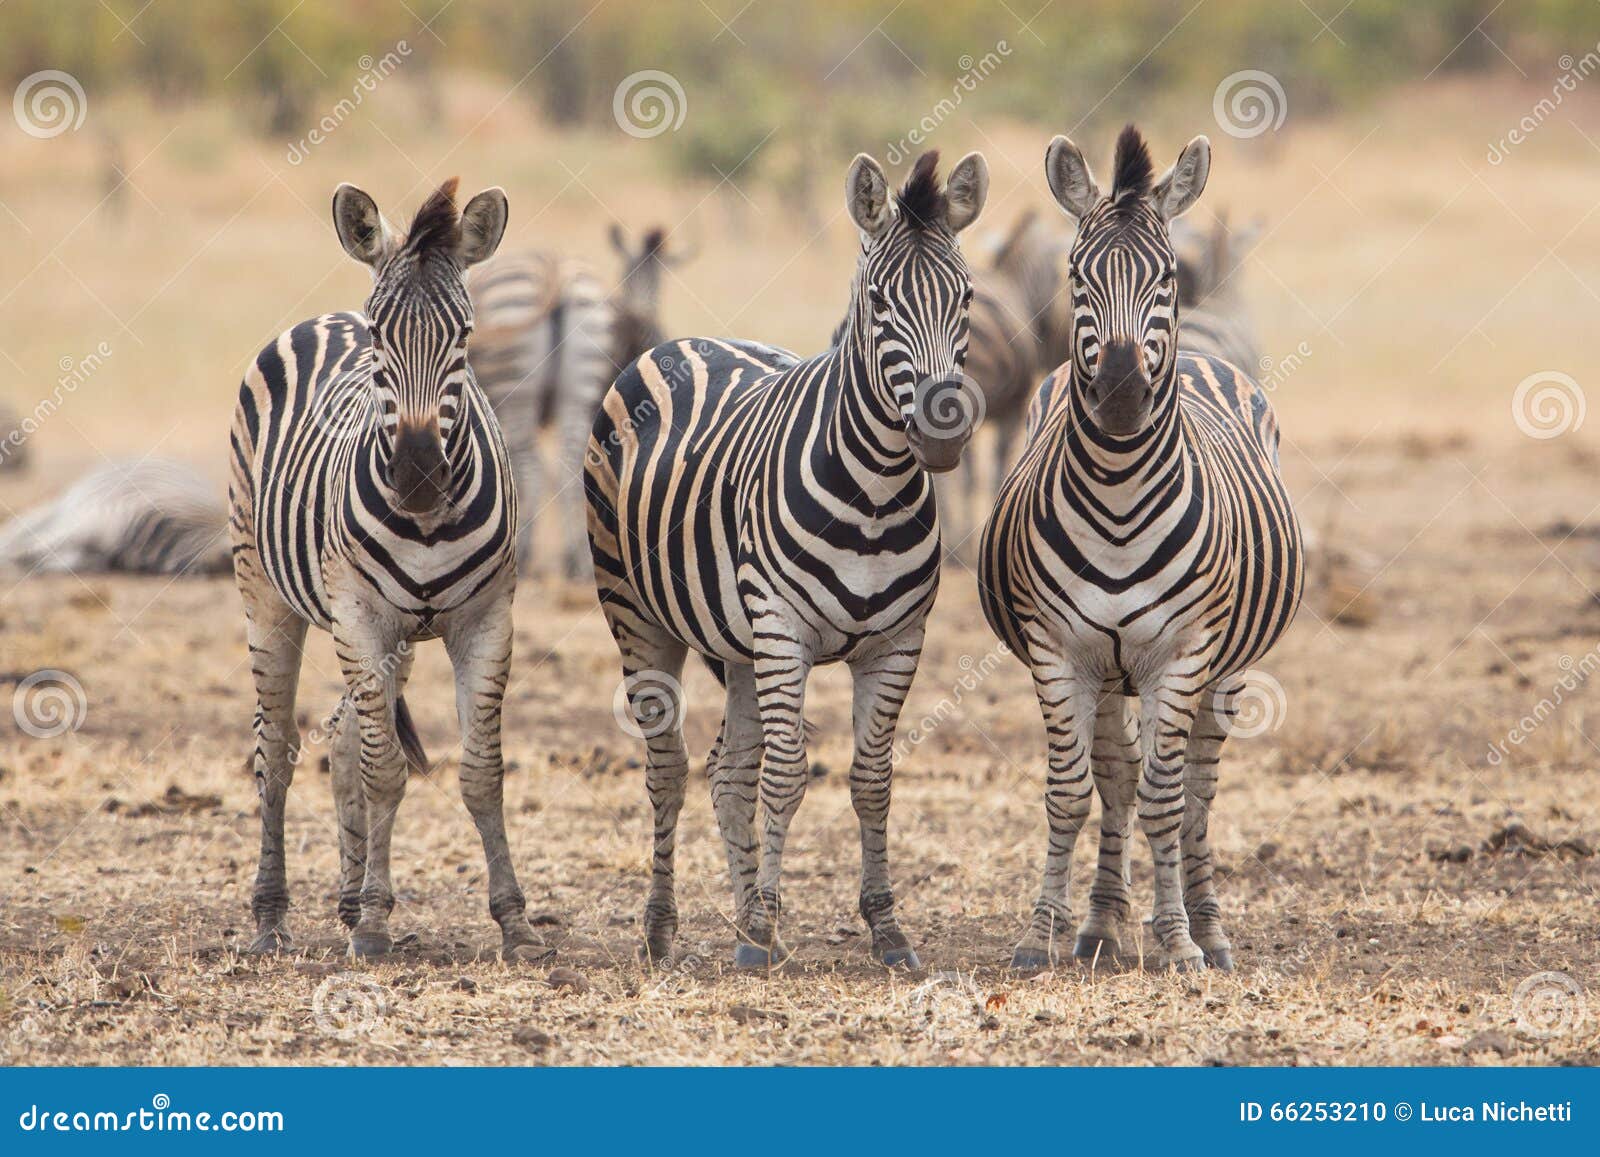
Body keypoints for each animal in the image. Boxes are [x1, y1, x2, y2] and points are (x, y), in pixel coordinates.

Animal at [228, 178, 546, 961]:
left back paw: (345, 899)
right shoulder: (361, 616)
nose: (419, 476)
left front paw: (515, 922)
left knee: (341, 739)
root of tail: (326, 315)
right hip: (267, 594)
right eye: (379, 336)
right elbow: (384, 769)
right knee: (277, 749)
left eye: (465, 336)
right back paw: (271, 914)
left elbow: (481, 773)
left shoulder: (487, 621)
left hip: (391, 635)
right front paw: (375, 922)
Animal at [587, 149, 989, 969]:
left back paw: (743, 916)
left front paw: (884, 928)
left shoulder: (898, 641)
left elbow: (871, 779)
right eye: (879, 301)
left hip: (738, 643)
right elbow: (787, 774)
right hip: (638, 612)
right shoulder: (782, 628)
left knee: (726, 771)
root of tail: (679, 342)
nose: (941, 433)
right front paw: (767, 929)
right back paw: (663, 929)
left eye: (966, 297)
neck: (874, 494)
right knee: (671, 768)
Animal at [978, 127, 1303, 973]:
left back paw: (1208, 928)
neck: (1121, 497)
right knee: (1118, 776)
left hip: (1224, 668)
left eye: (1164, 278)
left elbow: (1166, 797)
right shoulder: (1060, 649)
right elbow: (1071, 790)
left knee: (1195, 788)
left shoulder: (1183, 654)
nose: (1123, 391)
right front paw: (1041, 934)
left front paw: (1181, 943)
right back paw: (1099, 923)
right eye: (1075, 273)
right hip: (1106, 670)